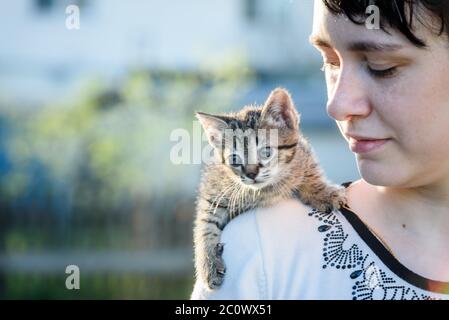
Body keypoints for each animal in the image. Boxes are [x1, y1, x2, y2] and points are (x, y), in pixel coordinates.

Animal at [193, 87, 346, 290]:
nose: (251, 173)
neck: (264, 190)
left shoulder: (303, 152)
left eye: (266, 152)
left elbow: (308, 171)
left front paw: (323, 192)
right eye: (234, 159)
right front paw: (208, 263)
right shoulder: (213, 190)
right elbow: (205, 225)